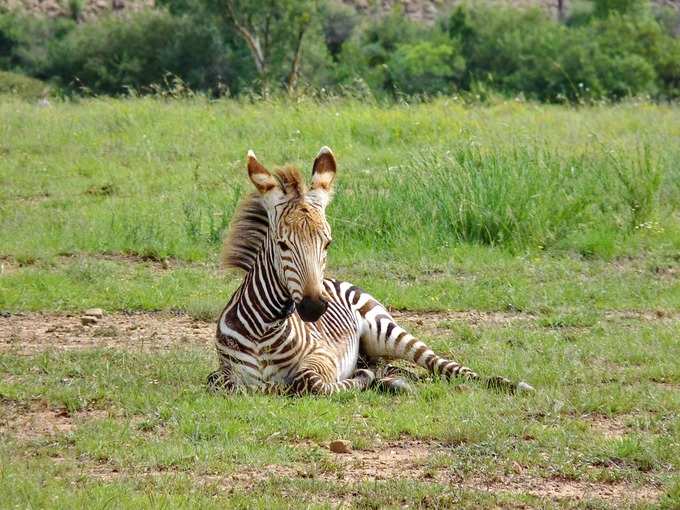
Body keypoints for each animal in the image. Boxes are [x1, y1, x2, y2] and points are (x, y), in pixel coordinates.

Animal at [210, 146, 532, 394]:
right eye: (282, 244)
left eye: (328, 243)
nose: (314, 307)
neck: (264, 329)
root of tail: (338, 281)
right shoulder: (225, 374)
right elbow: (219, 382)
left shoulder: (323, 356)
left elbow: (312, 383)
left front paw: (358, 379)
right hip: (373, 351)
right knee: (392, 369)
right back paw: (393, 382)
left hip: (386, 330)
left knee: (442, 365)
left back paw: (509, 384)